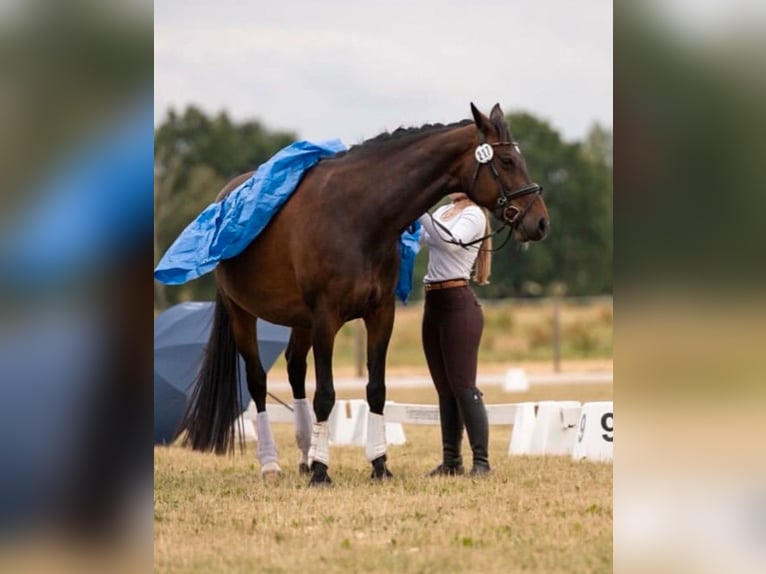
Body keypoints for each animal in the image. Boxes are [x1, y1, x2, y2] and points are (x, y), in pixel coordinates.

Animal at [175, 103, 549, 486]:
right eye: (507, 161)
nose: (540, 222)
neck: (358, 215)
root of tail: (225, 194)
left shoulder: (380, 314)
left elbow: (376, 389)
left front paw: (378, 464)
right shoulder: (326, 319)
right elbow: (325, 395)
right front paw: (322, 472)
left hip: (300, 321)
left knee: (295, 370)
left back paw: (305, 454)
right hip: (243, 313)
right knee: (257, 380)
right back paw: (272, 464)